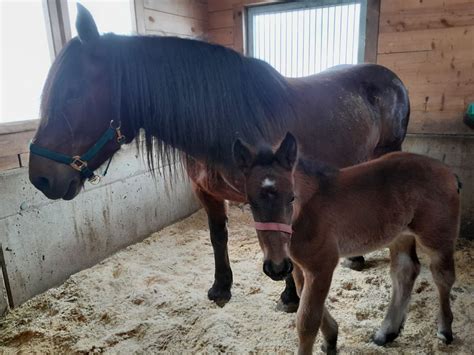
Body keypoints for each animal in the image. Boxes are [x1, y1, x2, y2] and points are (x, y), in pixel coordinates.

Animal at [27, 5, 410, 312]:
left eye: (73, 92)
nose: (40, 177)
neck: (232, 120)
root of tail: (391, 79)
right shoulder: (207, 194)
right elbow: (217, 237)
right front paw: (221, 287)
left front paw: (289, 296)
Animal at [235, 134, 462, 355]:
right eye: (250, 203)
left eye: (291, 198)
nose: (276, 267)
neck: (306, 212)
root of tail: (449, 171)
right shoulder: (298, 265)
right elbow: (304, 297)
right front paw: (331, 338)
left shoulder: (322, 265)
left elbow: (307, 321)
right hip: (400, 235)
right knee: (405, 271)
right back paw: (386, 333)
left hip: (436, 238)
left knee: (443, 276)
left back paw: (445, 330)